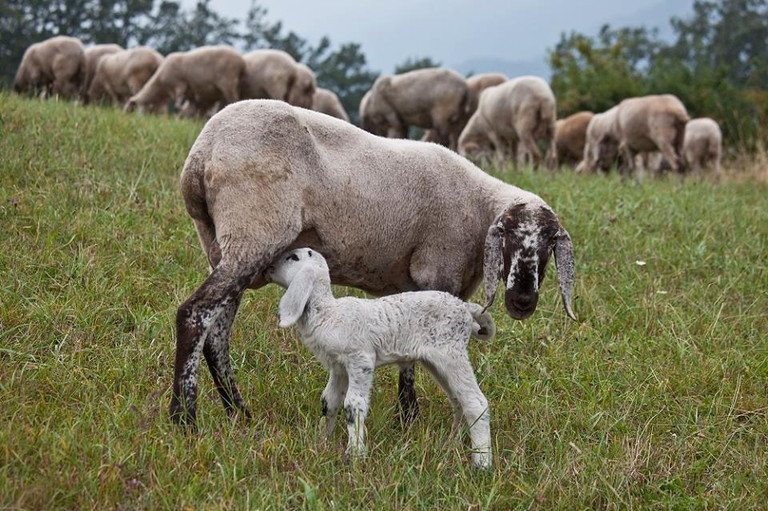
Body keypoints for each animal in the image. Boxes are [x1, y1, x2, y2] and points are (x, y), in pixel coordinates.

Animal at [170, 99, 575, 429]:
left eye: (549, 246)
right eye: (506, 236)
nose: (523, 301)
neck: (477, 207)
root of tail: (201, 153)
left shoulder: (412, 286)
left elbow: (408, 351)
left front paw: (406, 419)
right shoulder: (436, 272)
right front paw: (409, 420)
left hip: (225, 244)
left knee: (217, 335)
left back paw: (239, 414)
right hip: (253, 231)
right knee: (194, 314)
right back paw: (184, 419)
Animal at [266, 248, 494, 468]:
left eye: (293, 257)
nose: (269, 267)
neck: (327, 312)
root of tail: (464, 307)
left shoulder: (360, 359)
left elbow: (353, 404)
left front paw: (355, 455)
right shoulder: (338, 367)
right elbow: (329, 402)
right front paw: (321, 444)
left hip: (451, 353)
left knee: (476, 402)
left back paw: (482, 463)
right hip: (435, 361)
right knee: (458, 399)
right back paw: (451, 444)